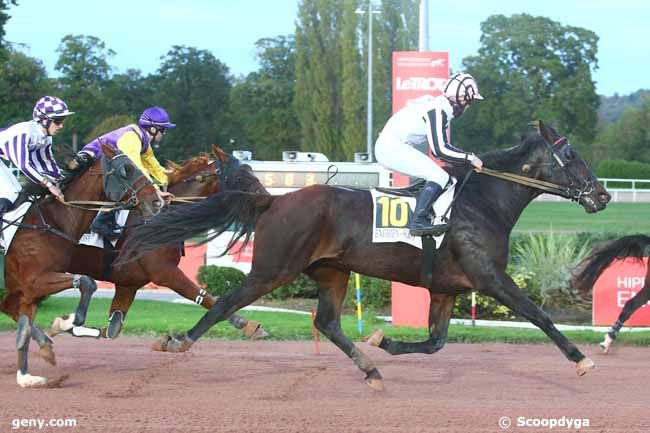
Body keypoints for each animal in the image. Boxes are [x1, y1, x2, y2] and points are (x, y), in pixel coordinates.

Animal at [0, 143, 162, 388]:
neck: (51, 222)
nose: (157, 201)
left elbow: (24, 328)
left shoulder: (28, 290)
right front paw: (65, 323)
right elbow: (86, 281)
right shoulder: (34, 280)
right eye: (126, 170)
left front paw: (27, 376)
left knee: (9, 308)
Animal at [49, 145, 268, 340]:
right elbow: (204, 296)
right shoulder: (164, 272)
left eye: (250, 170)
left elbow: (112, 328)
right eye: (239, 177)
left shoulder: (128, 285)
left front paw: (66, 325)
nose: (266, 197)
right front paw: (248, 325)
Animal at [123, 120, 612, 388]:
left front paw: (384, 341)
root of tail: (273, 201)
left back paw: (370, 367)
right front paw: (581, 359)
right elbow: (539, 314)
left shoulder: (446, 289)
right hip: (273, 269)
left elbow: (435, 342)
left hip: (331, 272)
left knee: (327, 322)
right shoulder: (490, 278)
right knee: (225, 302)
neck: (479, 203)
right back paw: (179, 340)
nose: (603, 195)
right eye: (571, 154)